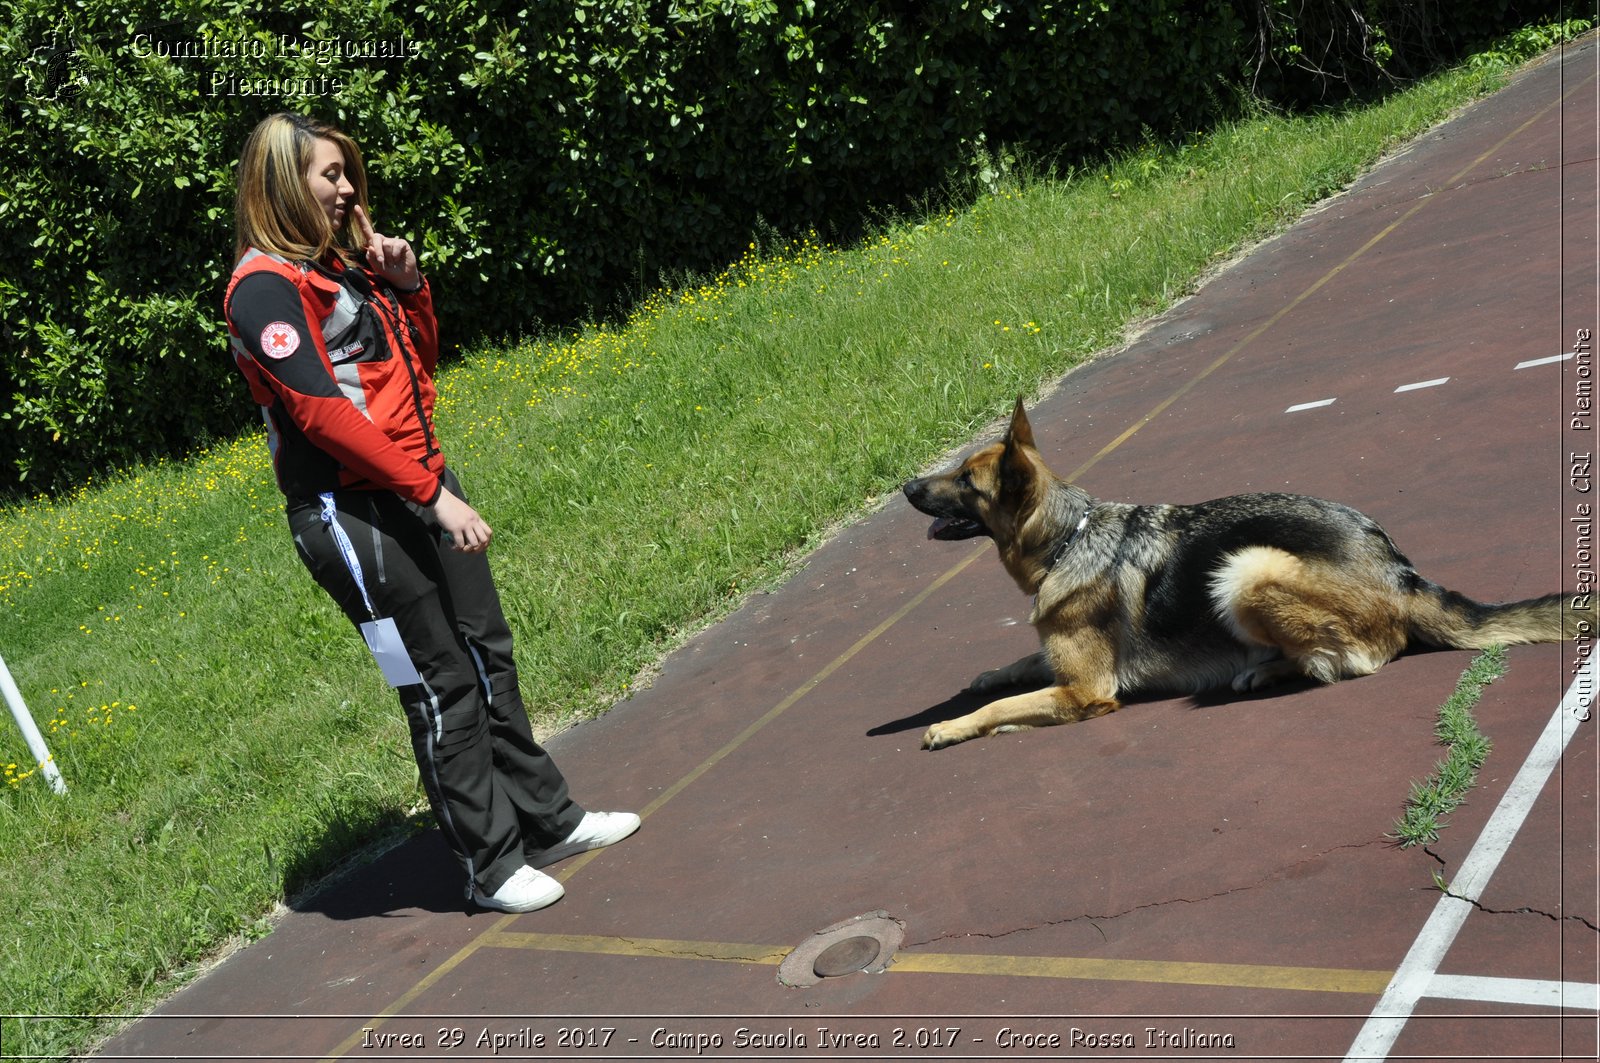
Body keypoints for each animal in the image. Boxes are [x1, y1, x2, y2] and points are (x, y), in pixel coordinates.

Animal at [902, 397, 1587, 746]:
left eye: (966, 480)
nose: (908, 487)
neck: (1069, 538)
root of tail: (1400, 570)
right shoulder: (1062, 665)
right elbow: (1019, 666)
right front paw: (988, 677)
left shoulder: (1085, 691)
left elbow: (1008, 704)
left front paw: (953, 725)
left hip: (1243, 569)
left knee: (1355, 659)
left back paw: (1265, 670)